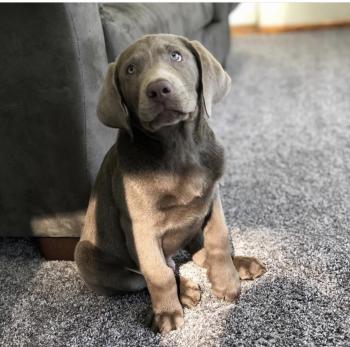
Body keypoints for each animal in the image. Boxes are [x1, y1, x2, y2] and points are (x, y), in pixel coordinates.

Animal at [74, 34, 266, 334]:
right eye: (130, 70)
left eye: (176, 56)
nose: (158, 89)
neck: (179, 147)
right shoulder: (140, 227)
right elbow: (157, 273)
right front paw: (167, 312)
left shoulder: (212, 200)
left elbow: (218, 241)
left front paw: (227, 281)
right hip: (86, 255)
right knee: (148, 273)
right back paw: (184, 290)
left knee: (197, 252)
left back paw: (241, 265)